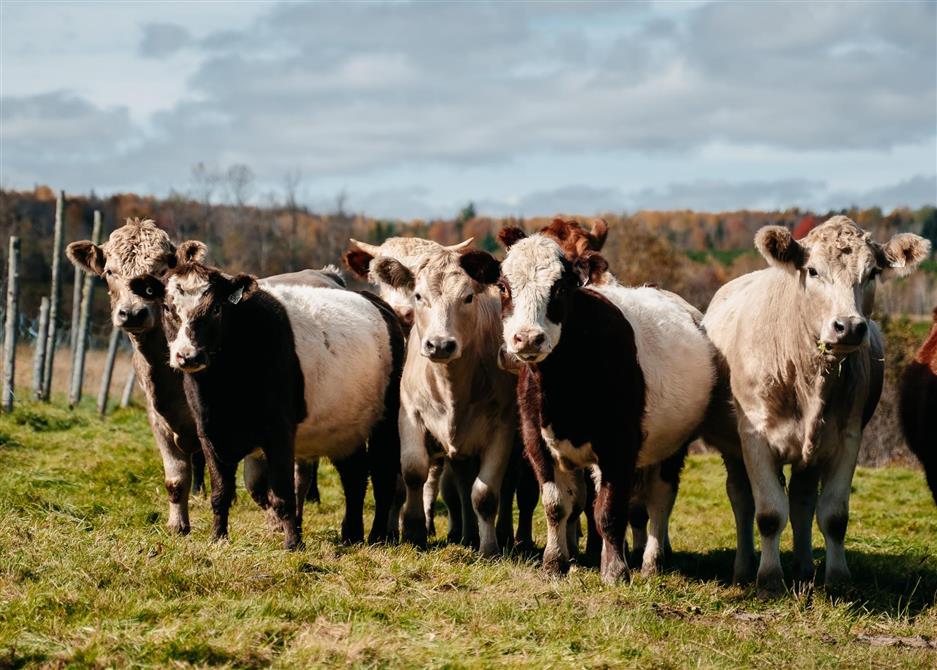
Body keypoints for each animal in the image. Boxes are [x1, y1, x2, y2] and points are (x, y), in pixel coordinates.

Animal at [137, 251, 404, 548]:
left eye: (216, 308)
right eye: (167, 308)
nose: (188, 356)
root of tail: (375, 301)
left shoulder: (279, 433)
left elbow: (283, 494)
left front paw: (293, 543)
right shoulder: (210, 434)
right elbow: (221, 492)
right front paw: (218, 538)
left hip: (387, 418)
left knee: (382, 474)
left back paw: (379, 536)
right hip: (345, 426)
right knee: (354, 475)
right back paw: (351, 535)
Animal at [367, 246, 518, 556]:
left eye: (468, 297)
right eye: (418, 296)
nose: (440, 345)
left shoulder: (503, 428)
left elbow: (484, 494)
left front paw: (489, 548)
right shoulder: (410, 415)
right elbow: (414, 473)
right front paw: (413, 532)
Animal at [463, 229, 715, 581]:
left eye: (560, 288)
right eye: (502, 287)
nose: (527, 338)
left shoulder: (619, 447)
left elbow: (609, 511)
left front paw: (615, 570)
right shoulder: (536, 441)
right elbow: (556, 505)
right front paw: (554, 562)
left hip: (672, 447)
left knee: (659, 501)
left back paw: (652, 561)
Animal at [702, 216, 928, 594]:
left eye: (871, 273)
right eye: (812, 271)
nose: (848, 326)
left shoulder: (847, 438)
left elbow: (833, 516)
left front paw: (837, 578)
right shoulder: (754, 437)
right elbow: (768, 513)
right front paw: (769, 578)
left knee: (802, 501)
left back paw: (805, 567)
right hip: (732, 448)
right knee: (742, 500)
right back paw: (744, 568)